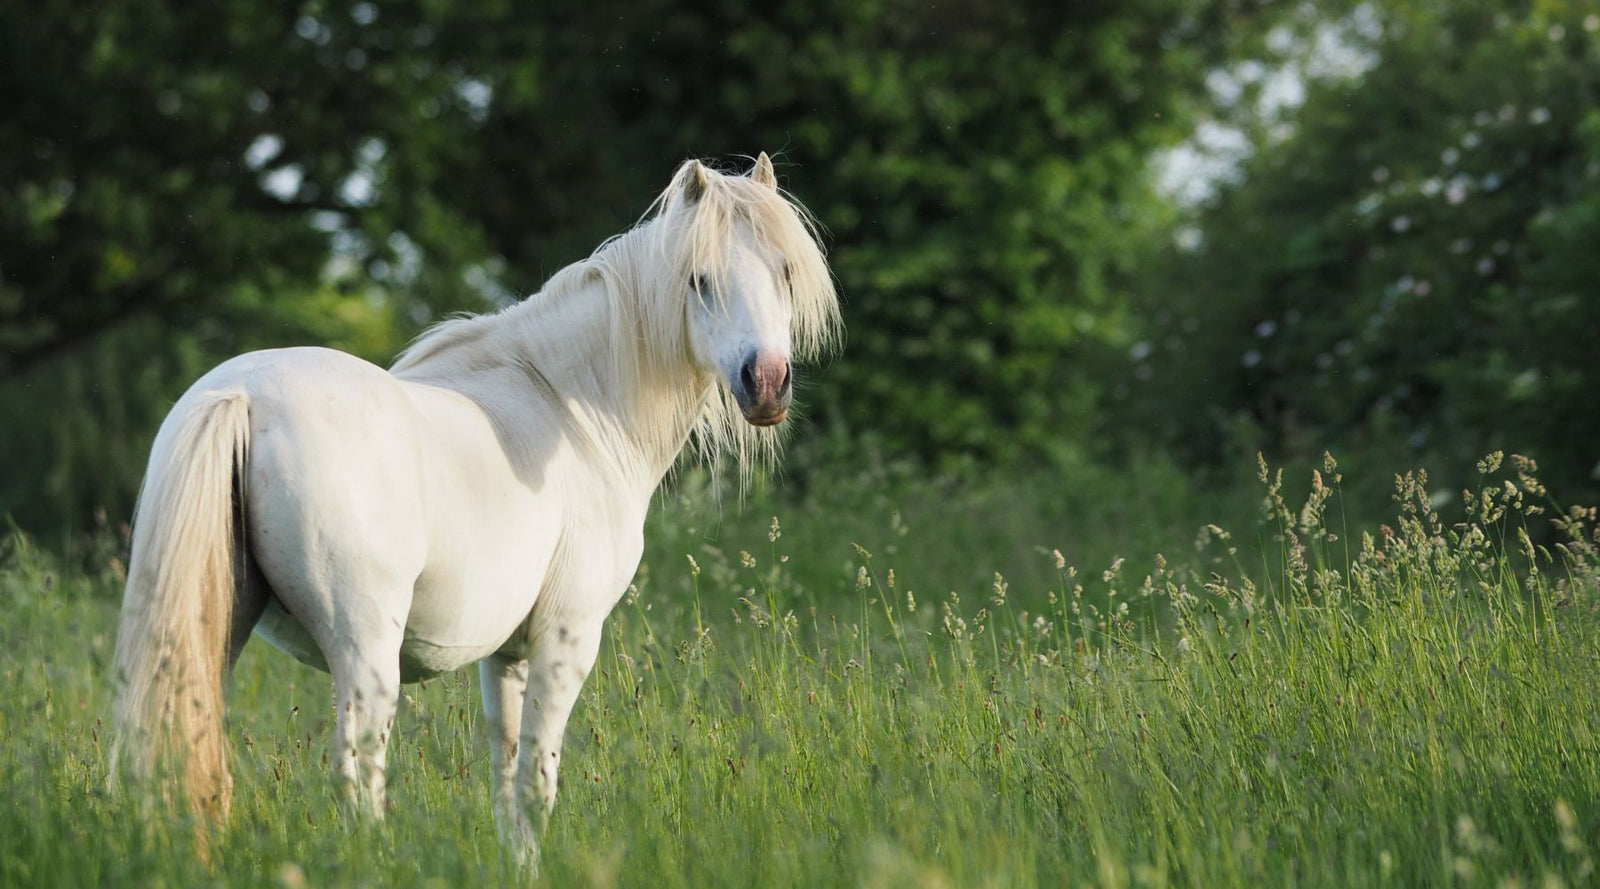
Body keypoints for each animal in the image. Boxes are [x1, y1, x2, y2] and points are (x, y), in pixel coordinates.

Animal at [110, 153, 841, 867]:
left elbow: (506, 777)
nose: (765, 382)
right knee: (358, 775)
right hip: (365, 655)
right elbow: (537, 783)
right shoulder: (566, 638)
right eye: (699, 279)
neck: (570, 406)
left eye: (784, 270)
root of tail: (244, 394)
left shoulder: (507, 657)